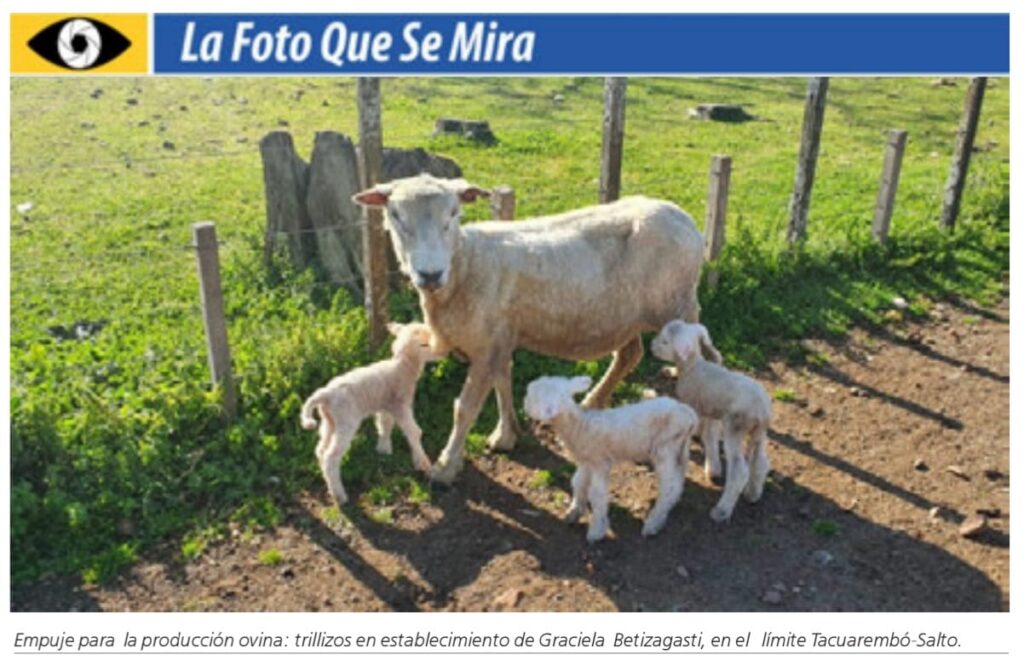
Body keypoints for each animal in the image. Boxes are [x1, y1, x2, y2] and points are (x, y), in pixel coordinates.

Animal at [300, 322, 446, 507]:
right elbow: (414, 431)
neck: (403, 368)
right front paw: (422, 461)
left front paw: (384, 448)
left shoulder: (385, 405)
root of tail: (324, 395)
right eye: (425, 344)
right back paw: (340, 496)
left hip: (329, 421)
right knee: (330, 457)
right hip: (346, 421)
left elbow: (384, 424)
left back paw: (330, 486)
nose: (444, 352)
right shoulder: (400, 405)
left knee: (320, 449)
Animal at [353, 174, 705, 484]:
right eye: (395, 215)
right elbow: (503, 382)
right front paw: (506, 434)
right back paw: (593, 401)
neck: (465, 266)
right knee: (630, 355)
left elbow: (464, 409)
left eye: (453, 213)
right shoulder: (499, 337)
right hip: (625, 316)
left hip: (678, 305)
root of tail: (686, 220)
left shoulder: (486, 345)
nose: (429, 274)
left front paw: (445, 466)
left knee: (700, 356)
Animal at [523, 375, 699, 542]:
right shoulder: (586, 461)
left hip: (664, 447)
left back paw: (654, 522)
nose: (525, 402)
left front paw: (596, 530)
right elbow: (578, 483)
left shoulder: (600, 462)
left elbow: (597, 494)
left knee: (669, 486)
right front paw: (574, 512)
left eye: (535, 397)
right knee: (677, 480)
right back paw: (670, 505)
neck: (580, 426)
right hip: (679, 447)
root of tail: (689, 415)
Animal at [650, 321, 773, 523]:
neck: (692, 366)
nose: (651, 346)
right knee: (761, 461)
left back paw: (722, 510)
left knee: (739, 471)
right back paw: (753, 494)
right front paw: (711, 462)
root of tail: (763, 410)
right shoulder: (710, 410)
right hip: (759, 433)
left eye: (665, 341)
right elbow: (710, 434)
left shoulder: (693, 404)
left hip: (735, 427)